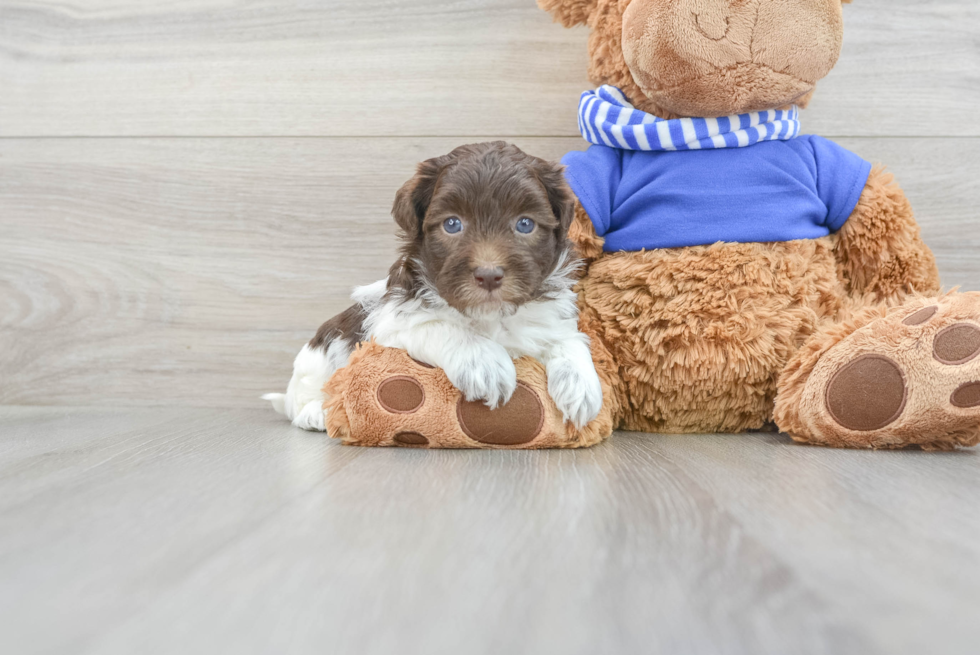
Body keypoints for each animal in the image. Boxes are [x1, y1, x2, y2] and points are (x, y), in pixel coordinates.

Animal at [268, 141, 604, 434]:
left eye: (525, 224)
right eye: (452, 224)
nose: (489, 275)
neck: (490, 316)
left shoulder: (550, 319)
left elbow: (570, 339)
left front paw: (581, 385)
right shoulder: (393, 324)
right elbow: (442, 327)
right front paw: (485, 363)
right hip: (320, 357)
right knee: (302, 397)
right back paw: (316, 413)